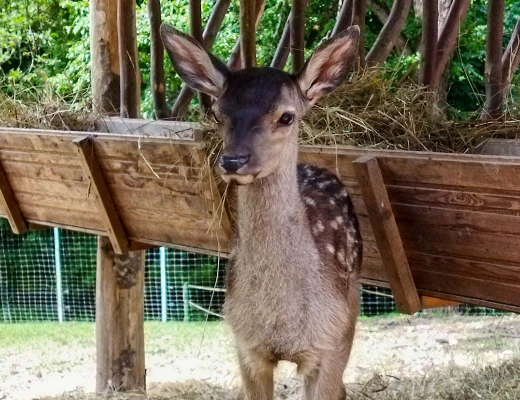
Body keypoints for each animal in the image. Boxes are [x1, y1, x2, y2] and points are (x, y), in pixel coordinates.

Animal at [161, 22, 362, 400]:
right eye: (217, 112)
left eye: (287, 116)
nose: (233, 160)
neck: (281, 322)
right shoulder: (246, 345)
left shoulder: (331, 342)